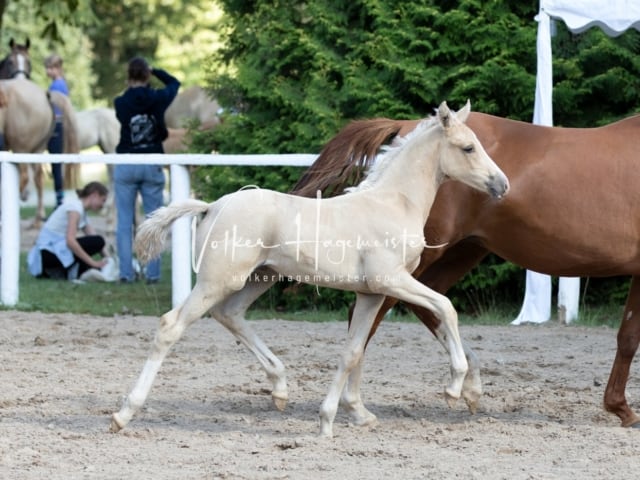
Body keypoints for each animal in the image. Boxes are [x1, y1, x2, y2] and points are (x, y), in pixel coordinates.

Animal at [111, 101, 510, 438]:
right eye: (468, 148)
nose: (502, 185)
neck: (392, 203)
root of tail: (212, 206)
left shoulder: (372, 292)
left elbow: (352, 352)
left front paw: (333, 419)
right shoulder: (393, 280)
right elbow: (446, 307)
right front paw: (455, 387)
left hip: (259, 278)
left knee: (230, 314)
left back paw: (280, 388)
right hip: (218, 280)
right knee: (171, 326)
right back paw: (124, 414)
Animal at [292, 111, 640, 428]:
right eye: (469, 148)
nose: (502, 184)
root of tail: (405, 126)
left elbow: (627, 335)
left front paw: (620, 408)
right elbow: (629, 338)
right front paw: (622, 408)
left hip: (462, 251)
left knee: (423, 307)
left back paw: (468, 385)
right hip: (416, 260)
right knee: (372, 317)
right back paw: (356, 406)